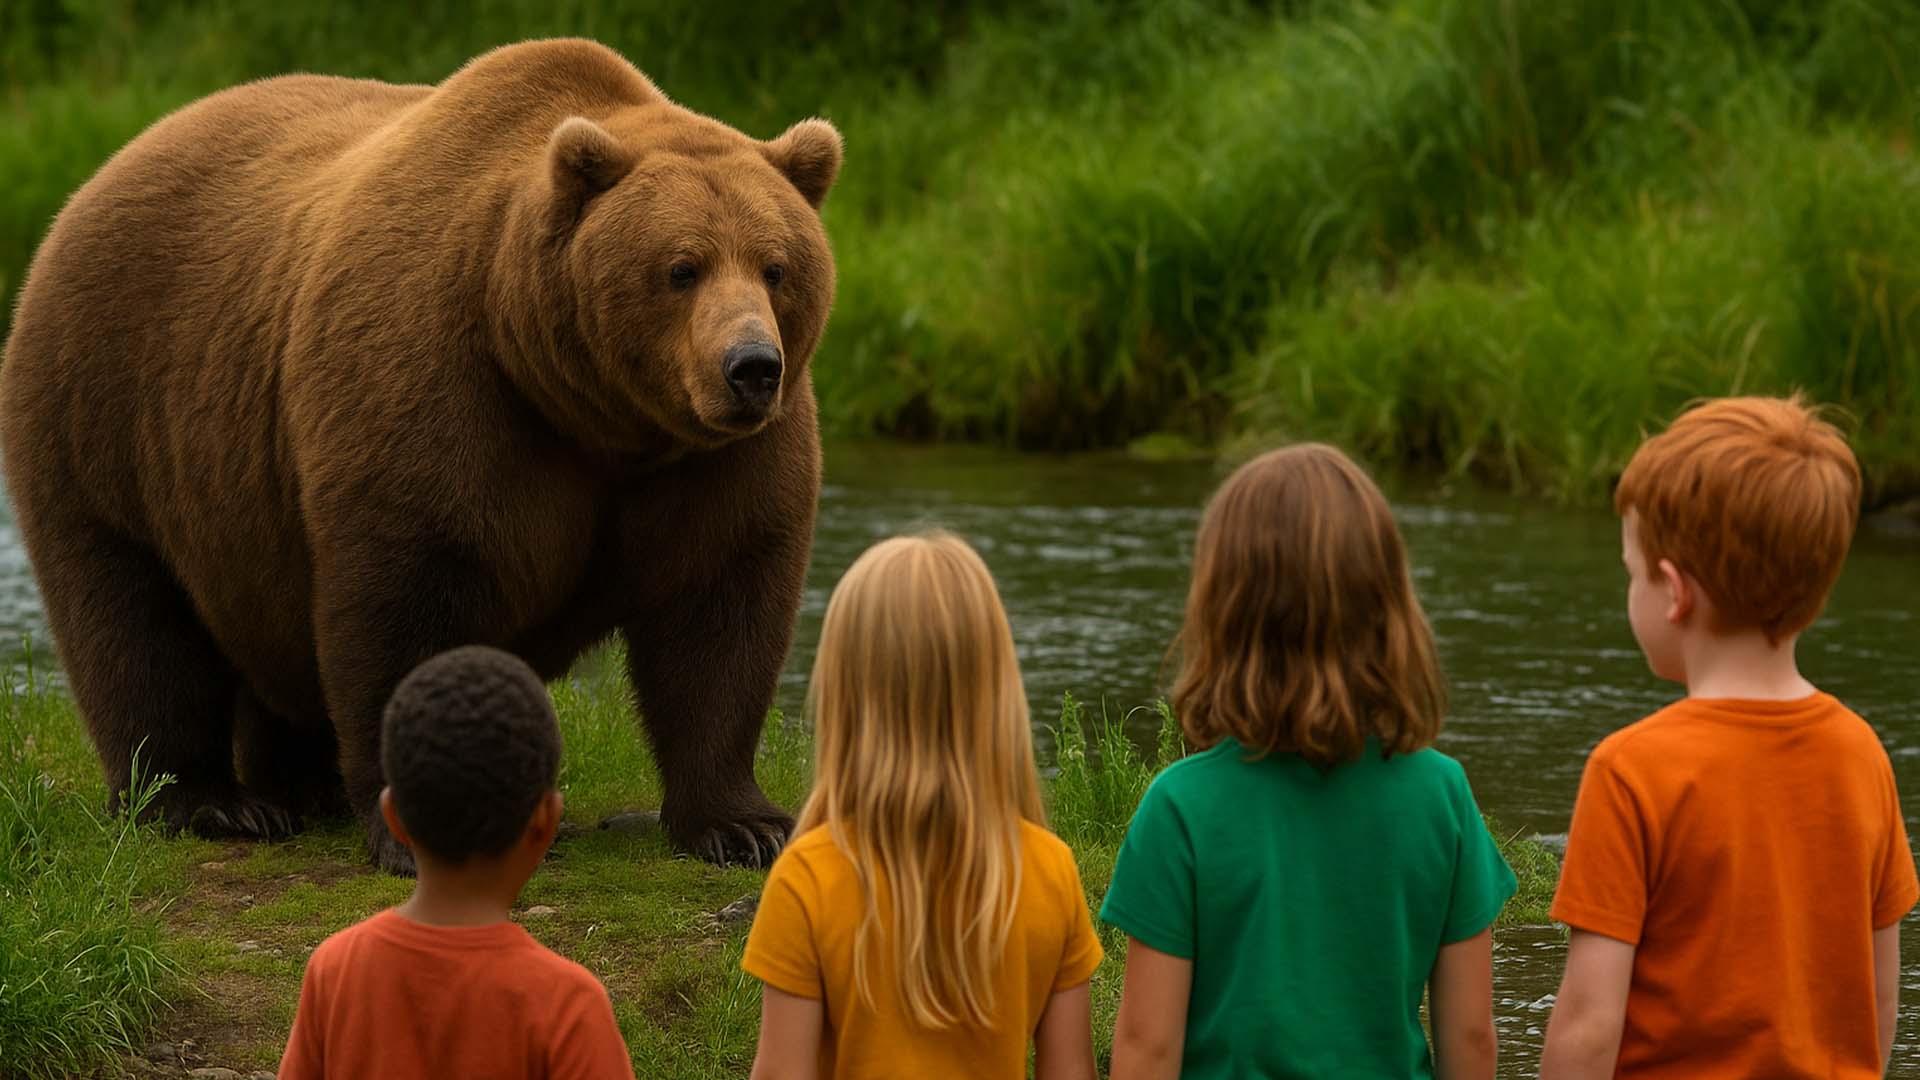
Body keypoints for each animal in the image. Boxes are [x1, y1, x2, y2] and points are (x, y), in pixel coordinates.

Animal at [0, 38, 839, 874]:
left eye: (775, 266)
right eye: (681, 267)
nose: (750, 367)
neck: (592, 410)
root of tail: (102, 171)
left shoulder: (714, 459)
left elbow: (721, 609)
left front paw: (744, 824)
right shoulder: (442, 394)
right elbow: (407, 598)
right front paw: (417, 829)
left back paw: (302, 787)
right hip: (107, 409)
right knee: (133, 618)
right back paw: (207, 802)